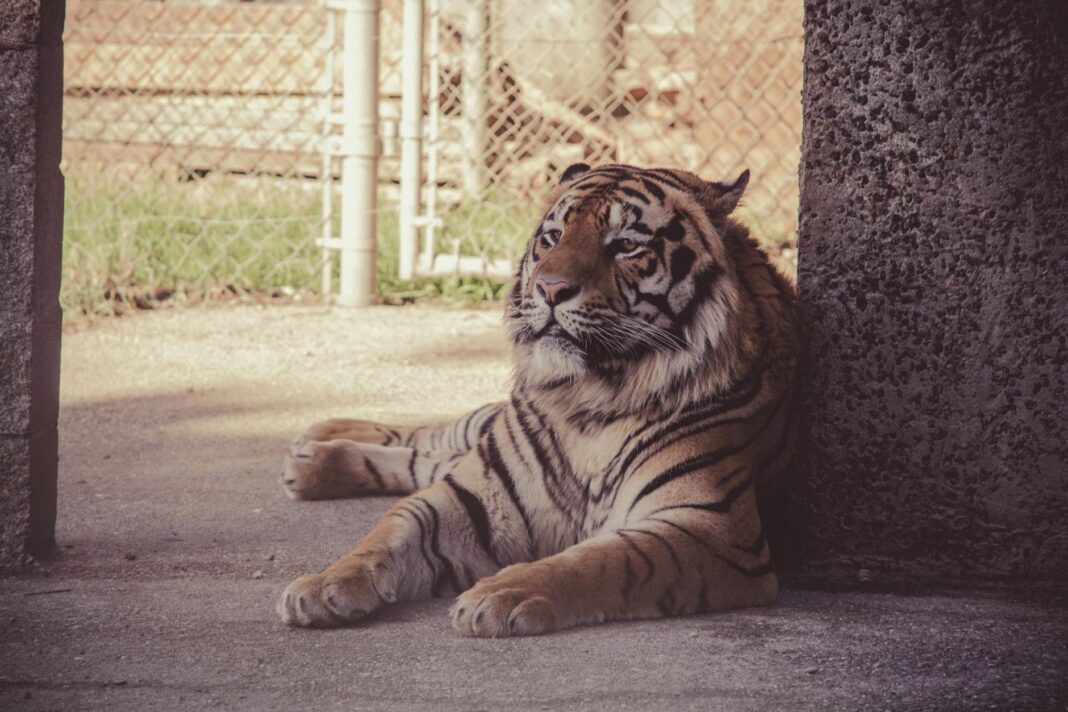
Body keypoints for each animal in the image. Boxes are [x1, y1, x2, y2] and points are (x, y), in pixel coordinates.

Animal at [277, 162, 801, 637]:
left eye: (626, 245)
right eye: (552, 237)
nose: (549, 289)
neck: (589, 400)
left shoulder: (710, 530)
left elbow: (606, 560)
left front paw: (500, 593)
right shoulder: (473, 496)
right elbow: (391, 531)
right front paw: (323, 585)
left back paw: (310, 460)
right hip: (484, 433)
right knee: (435, 437)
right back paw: (319, 443)